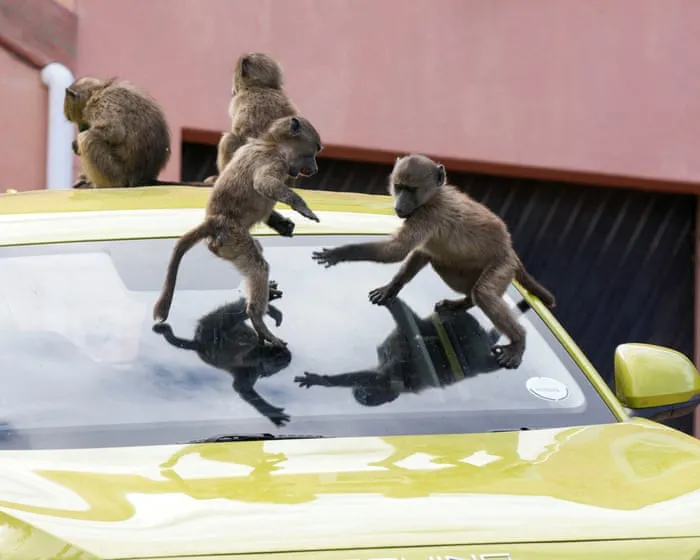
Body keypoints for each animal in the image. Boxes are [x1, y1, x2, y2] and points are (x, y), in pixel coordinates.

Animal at [152, 290, 292, 427]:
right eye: (278, 358)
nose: (285, 355)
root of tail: (197, 343)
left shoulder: (252, 368)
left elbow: (242, 387)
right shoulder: (253, 366)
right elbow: (241, 384)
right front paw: (273, 414)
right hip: (211, 326)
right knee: (232, 316)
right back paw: (266, 303)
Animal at [153, 115, 323, 348]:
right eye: (314, 151)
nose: (314, 168)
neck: (271, 142)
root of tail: (214, 221)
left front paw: (282, 224)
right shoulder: (274, 161)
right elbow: (263, 183)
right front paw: (302, 207)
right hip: (232, 237)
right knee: (258, 267)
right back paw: (258, 319)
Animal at [294, 296, 504, 406]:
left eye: (365, 395)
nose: (361, 395)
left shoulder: (386, 380)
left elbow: (377, 377)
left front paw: (323, 380)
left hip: (471, 348)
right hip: (456, 329)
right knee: (421, 323)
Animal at [311, 154, 556, 370]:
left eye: (411, 189)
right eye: (399, 187)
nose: (399, 205)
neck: (432, 197)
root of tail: (509, 248)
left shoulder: (429, 214)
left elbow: (397, 250)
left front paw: (340, 253)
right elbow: (420, 253)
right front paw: (391, 288)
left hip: (502, 265)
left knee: (484, 293)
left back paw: (518, 341)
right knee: (448, 268)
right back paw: (464, 303)